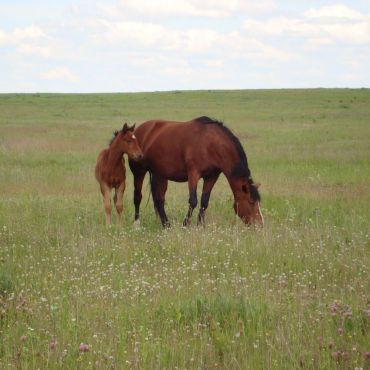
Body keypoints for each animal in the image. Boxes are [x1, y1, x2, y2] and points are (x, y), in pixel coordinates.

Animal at [129, 116, 264, 225]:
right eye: (251, 202)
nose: (259, 224)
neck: (211, 144)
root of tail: (138, 131)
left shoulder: (211, 177)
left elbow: (204, 202)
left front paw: (200, 225)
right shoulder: (193, 173)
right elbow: (193, 201)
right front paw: (185, 224)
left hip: (160, 175)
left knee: (159, 200)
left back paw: (166, 224)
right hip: (139, 172)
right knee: (138, 196)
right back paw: (137, 224)